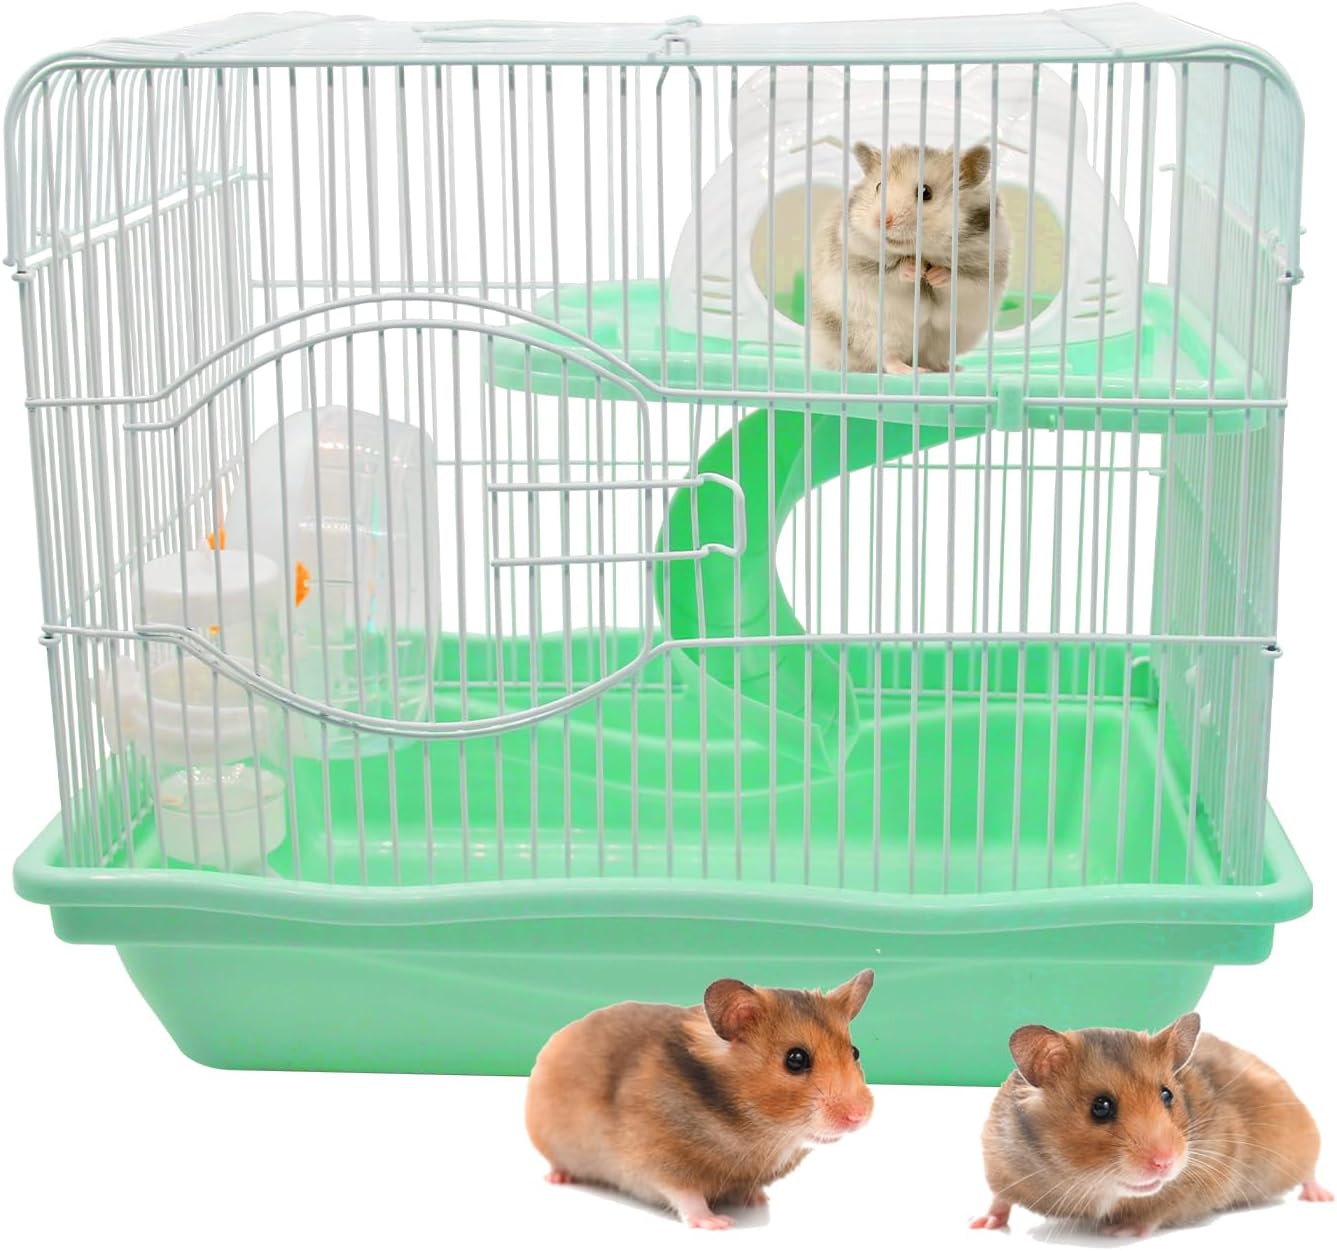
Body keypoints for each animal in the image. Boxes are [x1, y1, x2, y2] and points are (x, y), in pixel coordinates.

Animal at [525, 970, 875, 1230]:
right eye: (796, 1059)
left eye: (855, 1051)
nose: (860, 1116)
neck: (758, 1132)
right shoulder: (656, 1159)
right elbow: (686, 1194)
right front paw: (717, 1223)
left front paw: (758, 1199)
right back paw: (558, 1177)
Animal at [810, 141, 1010, 374]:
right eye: (878, 187)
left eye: (925, 192)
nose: (881, 220)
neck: (921, 251)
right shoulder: (861, 261)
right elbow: (892, 272)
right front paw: (916, 269)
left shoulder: (981, 271)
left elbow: (957, 277)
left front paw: (934, 275)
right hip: (874, 332)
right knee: (887, 359)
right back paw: (912, 370)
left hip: (945, 340)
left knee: (930, 358)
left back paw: (948, 368)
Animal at [971, 1012, 1333, 1237]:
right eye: (1100, 1107)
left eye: (1167, 1094)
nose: (1165, 1162)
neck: (1090, 1183)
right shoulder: (1000, 1160)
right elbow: (999, 1198)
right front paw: (980, 1224)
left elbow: (1154, 1212)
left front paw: (1119, 1231)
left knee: (1310, 1172)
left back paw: (1321, 1197)